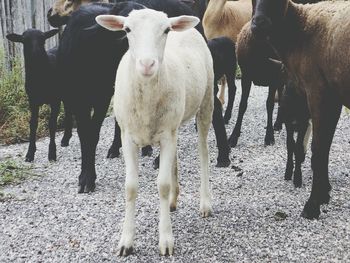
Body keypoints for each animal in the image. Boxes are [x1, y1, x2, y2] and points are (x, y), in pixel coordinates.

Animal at [97, 8, 215, 258]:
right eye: (127, 29)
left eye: (166, 30)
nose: (147, 64)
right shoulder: (129, 136)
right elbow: (131, 187)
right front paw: (126, 241)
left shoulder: (166, 134)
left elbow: (162, 185)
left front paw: (166, 240)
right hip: (174, 124)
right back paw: (173, 201)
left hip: (206, 100)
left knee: (204, 153)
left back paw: (205, 204)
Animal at [252, 0, 350, 221]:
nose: (258, 24)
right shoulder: (333, 96)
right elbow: (325, 146)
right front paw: (324, 193)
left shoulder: (317, 90)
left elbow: (318, 149)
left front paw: (312, 205)